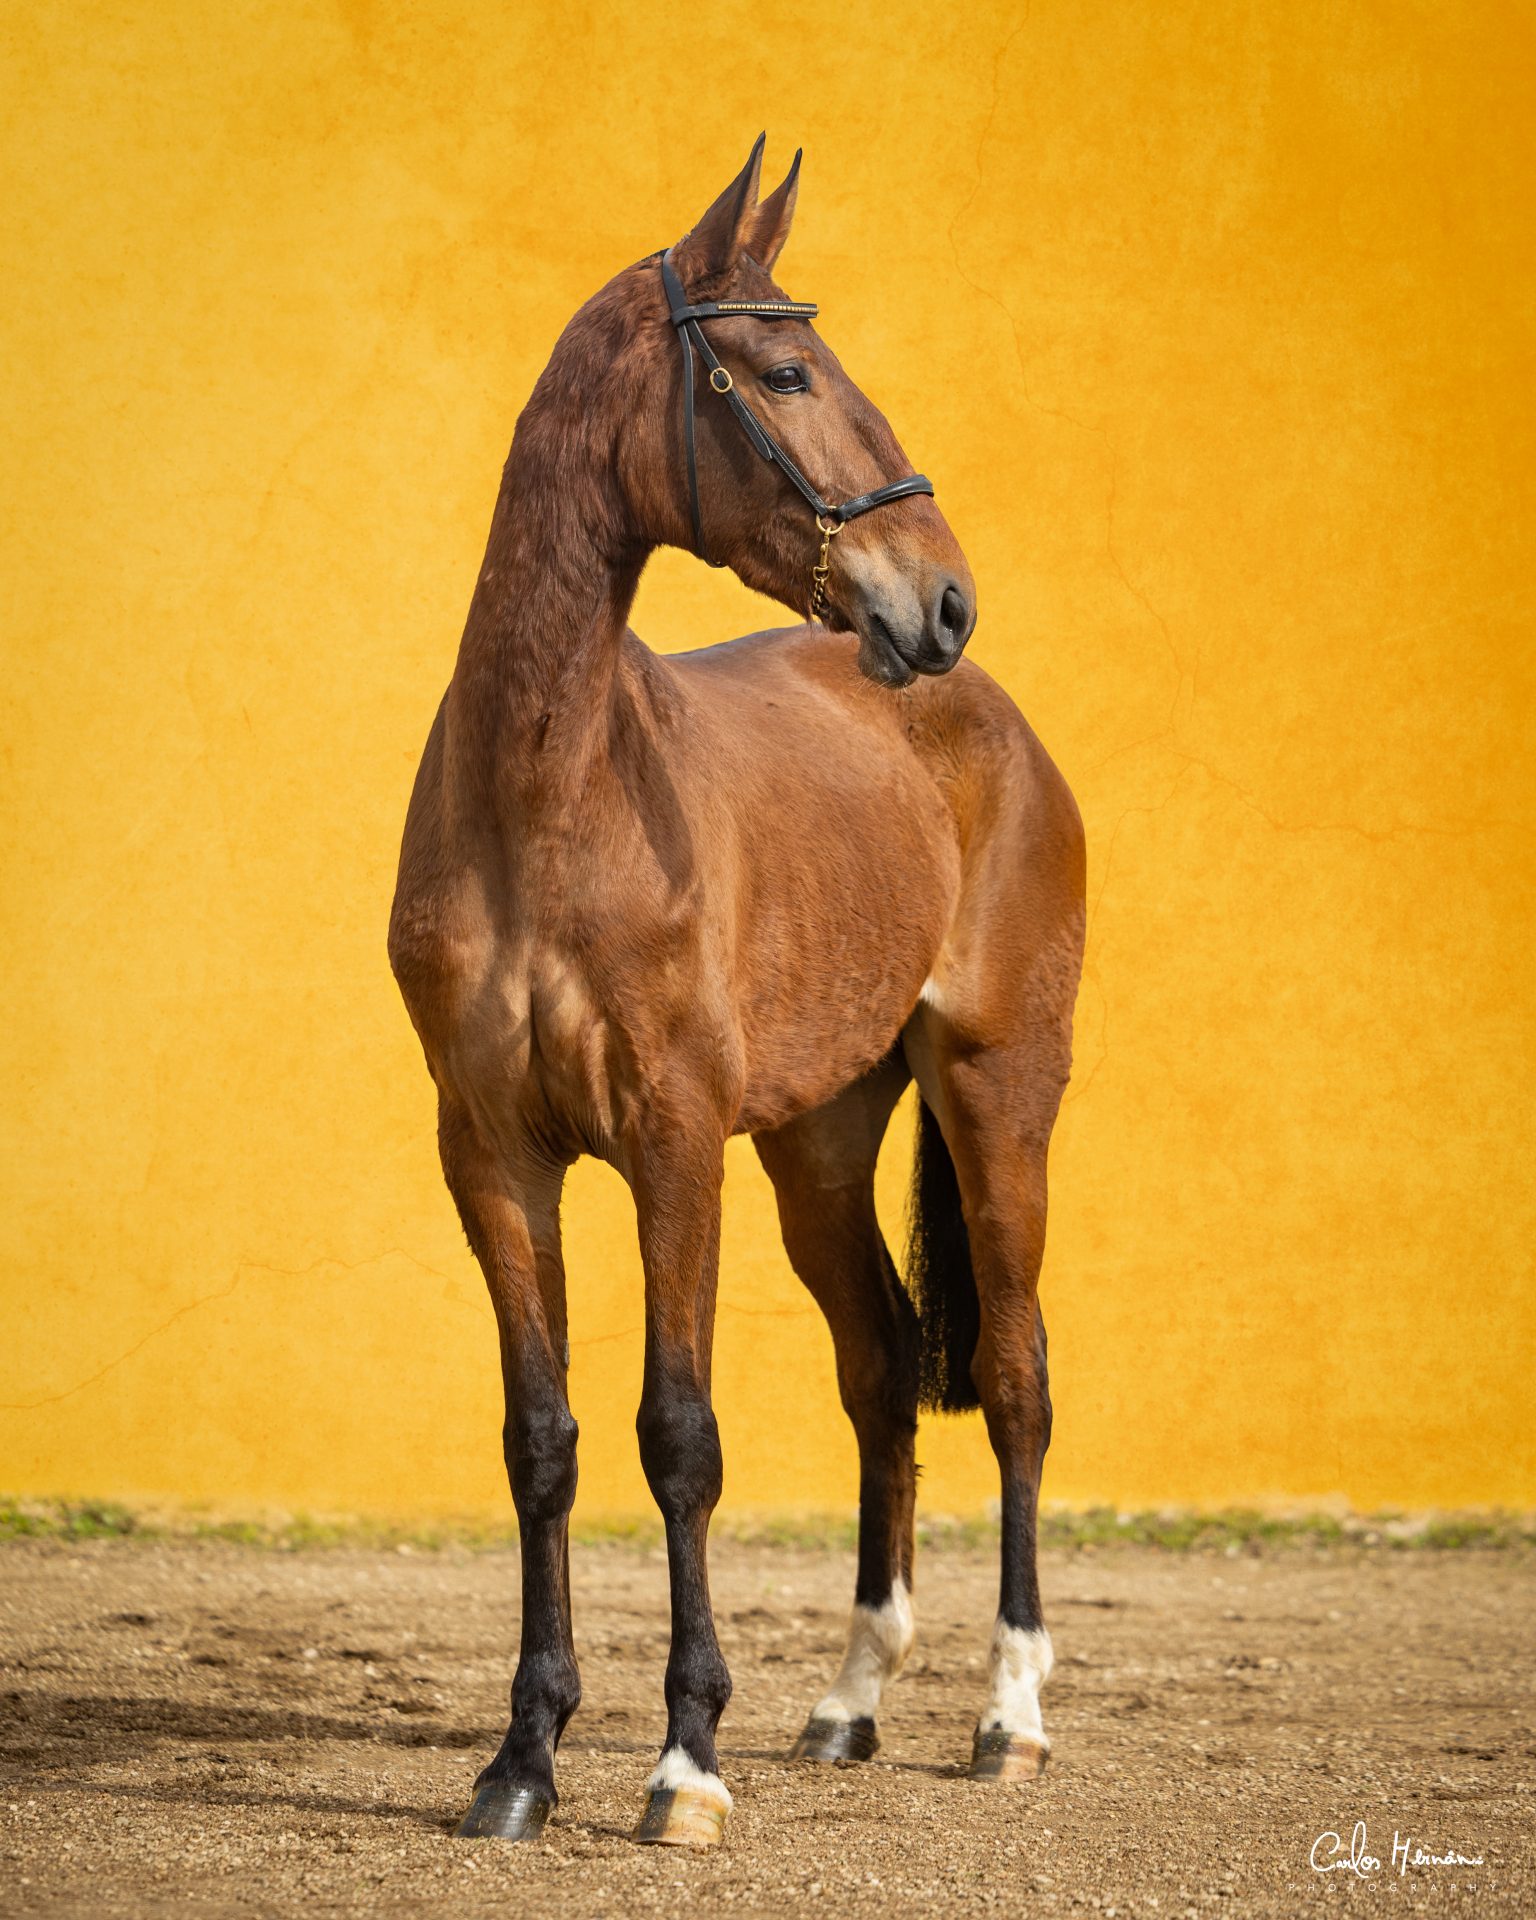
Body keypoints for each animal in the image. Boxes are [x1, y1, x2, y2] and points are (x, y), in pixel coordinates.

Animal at [388, 135, 1085, 1848]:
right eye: (781, 371)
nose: (943, 600)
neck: (553, 798)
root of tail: (990, 718)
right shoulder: (492, 1155)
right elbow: (544, 1442)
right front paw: (522, 1761)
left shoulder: (673, 1141)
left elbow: (680, 1436)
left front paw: (682, 1764)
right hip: (820, 1146)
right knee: (884, 1366)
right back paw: (847, 1702)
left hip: (998, 1098)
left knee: (1015, 1377)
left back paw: (1010, 1714)